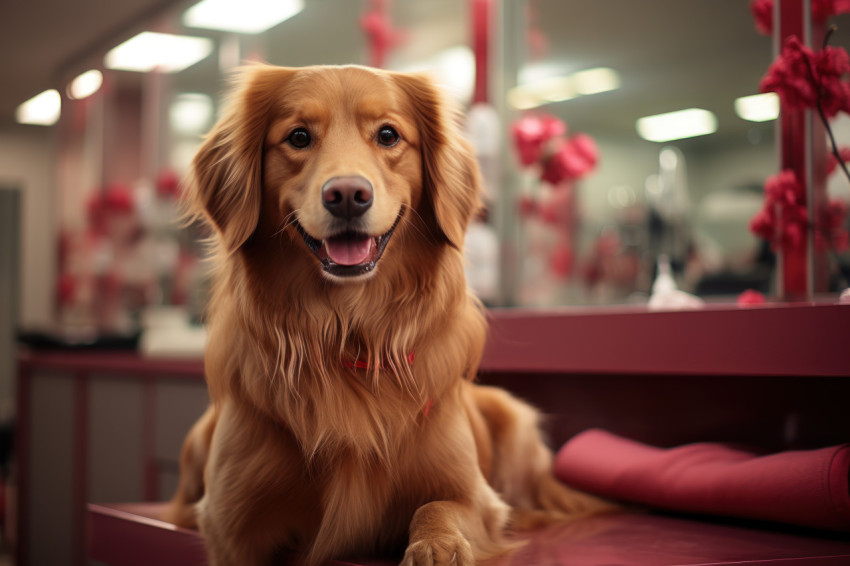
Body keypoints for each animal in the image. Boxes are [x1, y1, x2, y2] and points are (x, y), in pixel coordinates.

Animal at [164, 64, 608, 564]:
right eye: (298, 137)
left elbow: (438, 507)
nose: (347, 194)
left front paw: (437, 547)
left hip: (511, 416)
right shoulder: (231, 524)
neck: (346, 329)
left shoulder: (473, 494)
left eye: (388, 135)